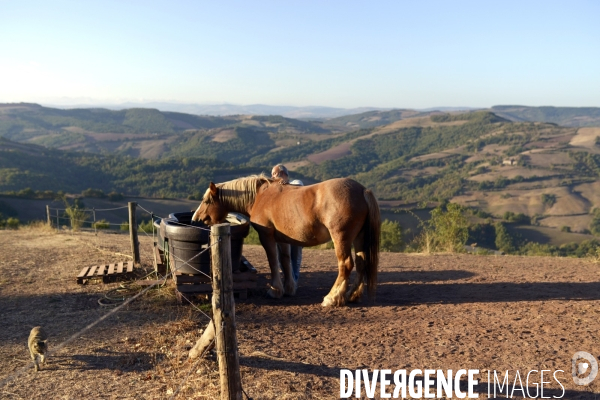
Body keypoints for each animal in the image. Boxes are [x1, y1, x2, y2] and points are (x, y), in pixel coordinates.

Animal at [192, 174, 380, 306]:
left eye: (207, 200)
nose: (195, 219)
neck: (260, 196)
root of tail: (363, 190)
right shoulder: (283, 238)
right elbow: (285, 260)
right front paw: (289, 288)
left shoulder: (267, 236)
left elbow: (273, 261)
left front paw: (275, 290)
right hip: (359, 238)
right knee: (361, 263)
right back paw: (352, 295)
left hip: (341, 238)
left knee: (346, 265)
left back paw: (332, 298)